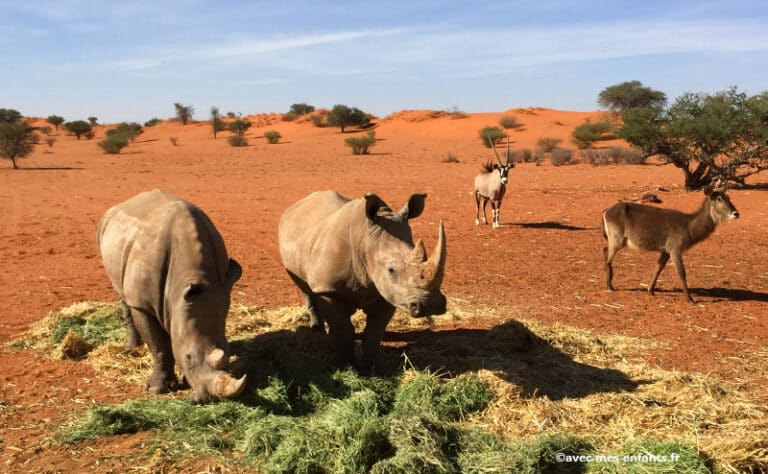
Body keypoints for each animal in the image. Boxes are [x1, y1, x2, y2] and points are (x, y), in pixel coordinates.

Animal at [604, 180, 740, 302]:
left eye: (728, 197)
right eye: (718, 199)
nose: (736, 213)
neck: (688, 225)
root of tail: (606, 211)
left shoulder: (665, 250)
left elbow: (659, 267)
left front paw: (651, 290)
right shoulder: (675, 250)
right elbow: (681, 272)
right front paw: (690, 298)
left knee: (605, 251)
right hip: (617, 239)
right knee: (608, 258)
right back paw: (610, 287)